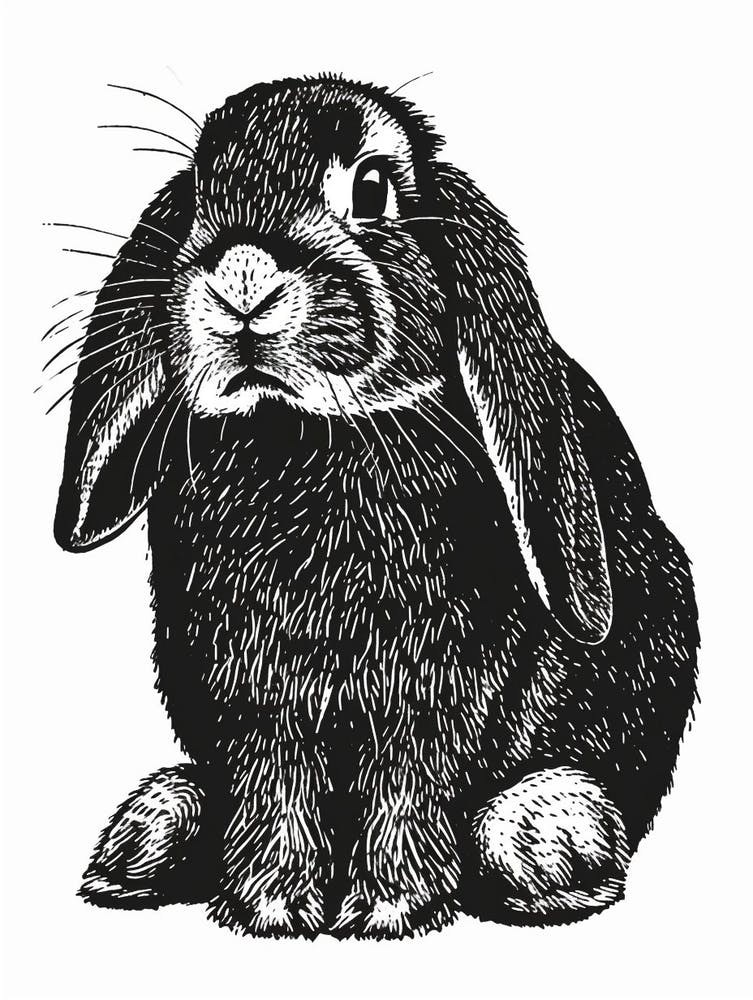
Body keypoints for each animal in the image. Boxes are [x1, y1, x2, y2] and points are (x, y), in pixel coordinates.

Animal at [53, 74, 698, 939]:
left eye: (371, 189)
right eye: (198, 197)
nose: (242, 278)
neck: (305, 431)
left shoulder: (434, 688)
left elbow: (407, 780)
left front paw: (387, 910)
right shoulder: (253, 692)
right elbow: (274, 781)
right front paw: (271, 907)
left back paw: (548, 844)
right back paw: (145, 843)